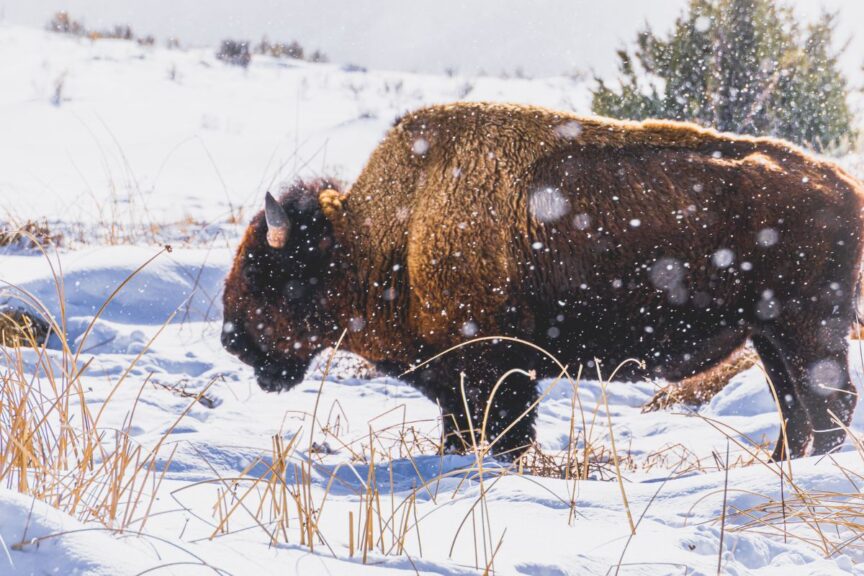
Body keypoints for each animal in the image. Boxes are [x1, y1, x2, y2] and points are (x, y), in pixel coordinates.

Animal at [222, 102, 864, 461]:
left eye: (264, 272)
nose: (232, 340)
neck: (388, 233)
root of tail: (844, 185)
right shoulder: (458, 384)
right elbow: (461, 434)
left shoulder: (494, 373)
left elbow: (503, 434)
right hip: (769, 336)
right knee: (795, 409)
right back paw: (775, 468)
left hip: (808, 330)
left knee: (826, 406)